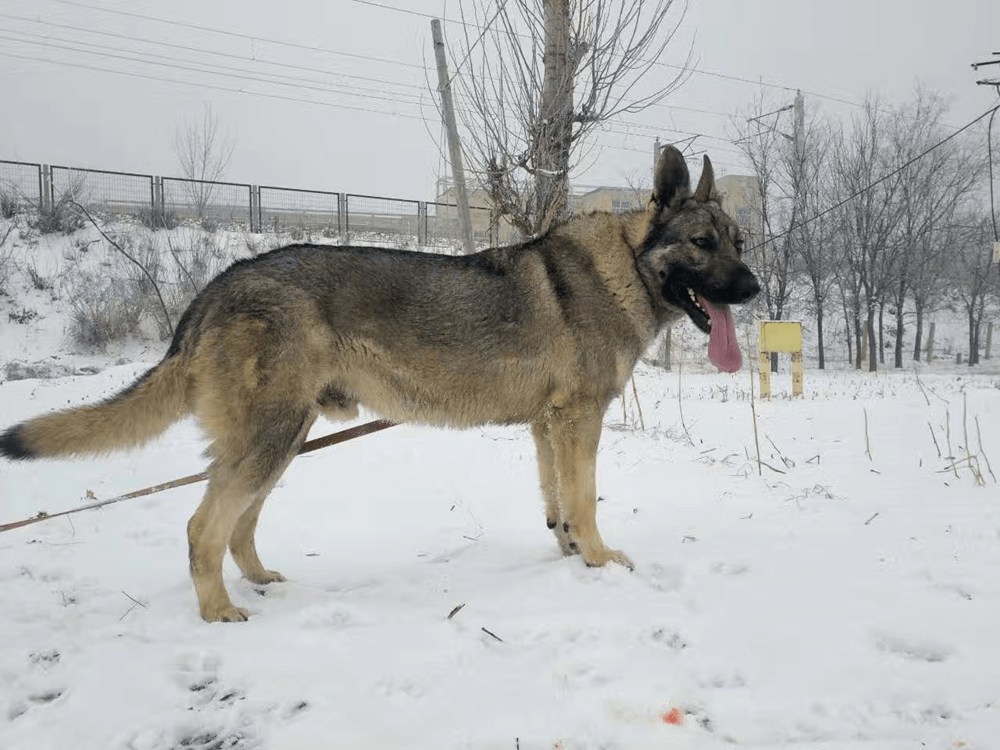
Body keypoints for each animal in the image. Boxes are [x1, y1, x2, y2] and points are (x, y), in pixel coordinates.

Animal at [0, 145, 756, 624]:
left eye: (740, 242)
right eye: (702, 244)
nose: (754, 289)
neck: (625, 266)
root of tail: (215, 288)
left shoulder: (549, 427)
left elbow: (559, 507)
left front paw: (571, 558)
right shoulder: (579, 422)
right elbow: (587, 502)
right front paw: (600, 563)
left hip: (282, 441)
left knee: (238, 526)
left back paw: (259, 581)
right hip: (271, 441)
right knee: (201, 526)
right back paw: (218, 611)